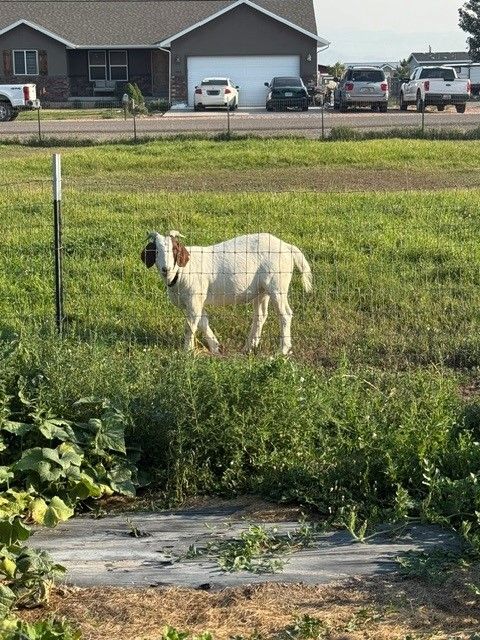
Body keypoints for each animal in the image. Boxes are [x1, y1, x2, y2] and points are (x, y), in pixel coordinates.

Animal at [141, 231, 312, 355]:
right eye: (156, 251)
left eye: (175, 250)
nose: (166, 268)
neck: (182, 271)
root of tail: (287, 246)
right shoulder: (192, 301)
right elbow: (203, 322)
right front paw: (216, 347)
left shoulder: (194, 298)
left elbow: (190, 326)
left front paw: (187, 352)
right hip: (262, 290)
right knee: (261, 315)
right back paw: (249, 347)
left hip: (277, 284)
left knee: (285, 314)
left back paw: (282, 350)